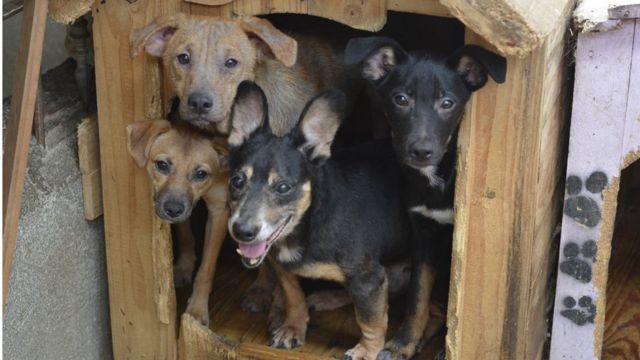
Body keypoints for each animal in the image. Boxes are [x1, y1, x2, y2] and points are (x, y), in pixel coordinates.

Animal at [126, 119, 229, 324]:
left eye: (201, 174)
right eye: (162, 164)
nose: (173, 209)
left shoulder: (220, 211)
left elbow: (206, 269)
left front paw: (197, 309)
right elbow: (185, 236)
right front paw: (184, 268)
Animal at [228, 81, 412, 360]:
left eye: (283, 187)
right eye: (237, 181)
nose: (242, 231)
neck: (308, 222)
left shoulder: (368, 278)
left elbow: (371, 320)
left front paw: (367, 351)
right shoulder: (283, 267)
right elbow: (293, 297)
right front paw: (293, 328)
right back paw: (325, 298)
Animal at [344, 35, 504, 358]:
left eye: (448, 103)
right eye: (401, 99)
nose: (421, 151)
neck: (435, 181)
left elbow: (452, 297)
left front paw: (446, 344)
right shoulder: (423, 231)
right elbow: (419, 294)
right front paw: (403, 343)